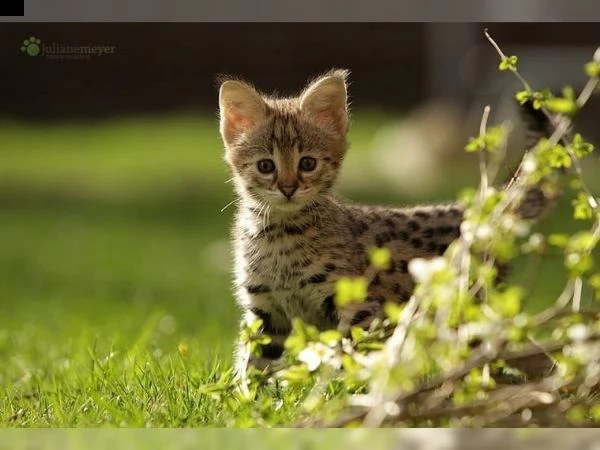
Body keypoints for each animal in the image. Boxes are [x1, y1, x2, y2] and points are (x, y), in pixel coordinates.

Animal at [218, 68, 560, 374]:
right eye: (266, 166)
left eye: (307, 163)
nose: (287, 189)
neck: (279, 233)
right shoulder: (265, 312)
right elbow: (250, 370)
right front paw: (243, 399)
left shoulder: (358, 308)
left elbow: (354, 365)